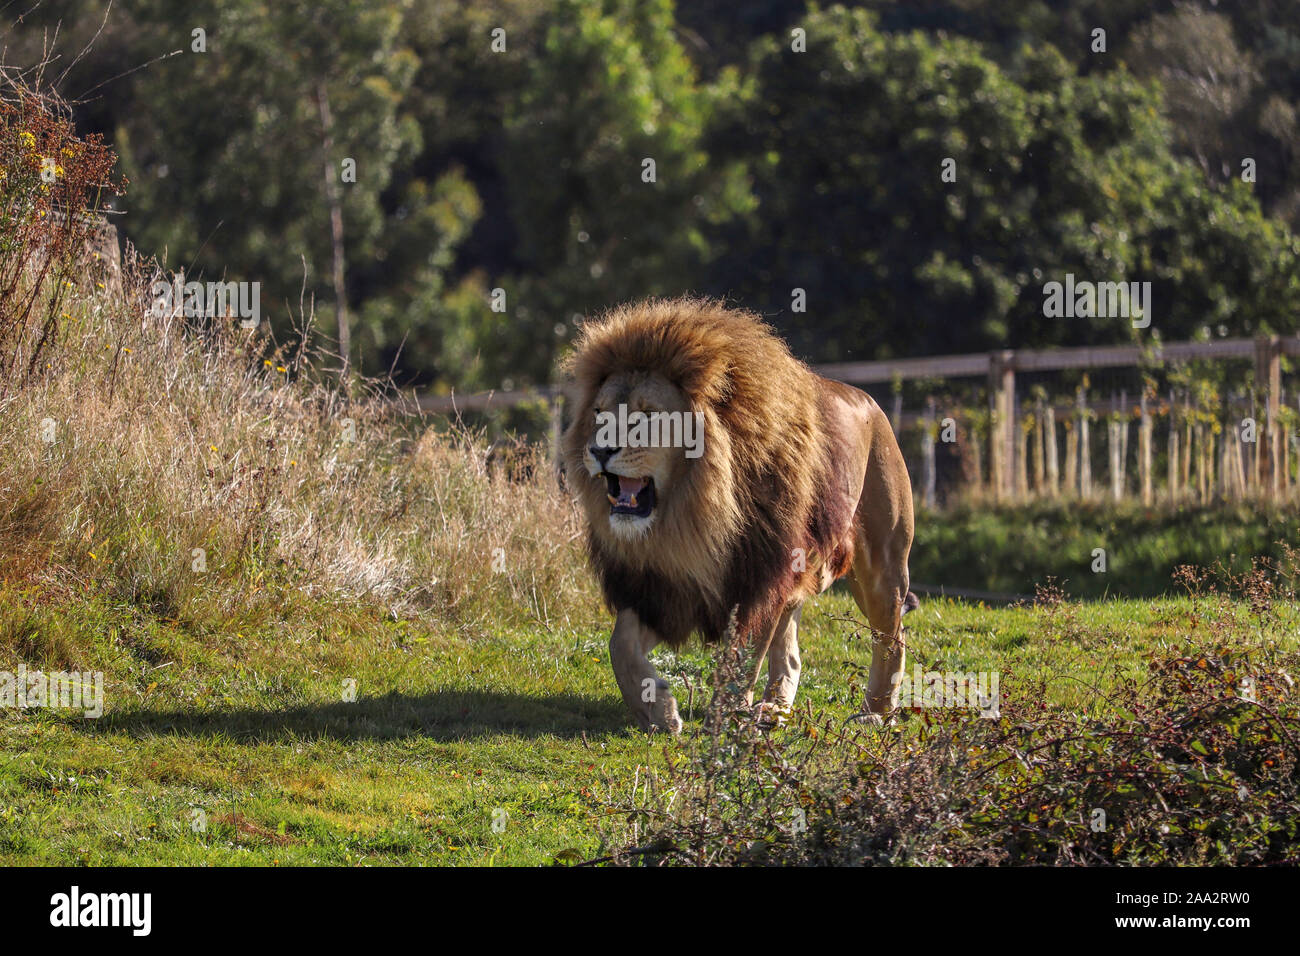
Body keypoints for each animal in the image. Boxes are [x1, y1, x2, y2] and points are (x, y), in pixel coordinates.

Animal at [559, 297, 915, 733]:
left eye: (647, 415)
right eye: (599, 413)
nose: (598, 450)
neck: (690, 513)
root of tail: (870, 402)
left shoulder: (759, 578)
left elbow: (741, 661)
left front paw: (723, 720)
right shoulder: (663, 588)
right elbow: (620, 645)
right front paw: (657, 710)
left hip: (881, 567)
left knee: (893, 635)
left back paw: (876, 712)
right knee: (791, 650)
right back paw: (774, 708)